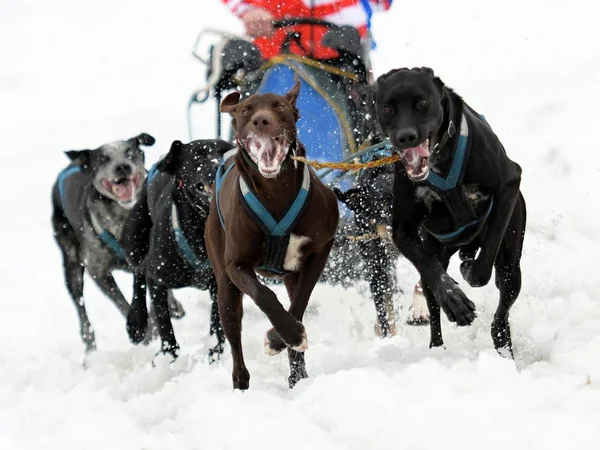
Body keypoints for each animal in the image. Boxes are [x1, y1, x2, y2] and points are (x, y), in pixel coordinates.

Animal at [51, 133, 183, 352]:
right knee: (81, 307)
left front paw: (168, 307)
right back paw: (90, 346)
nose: (122, 167)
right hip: (72, 267)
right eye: (103, 159)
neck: (124, 218)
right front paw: (145, 330)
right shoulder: (99, 272)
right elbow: (122, 302)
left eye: (130, 153)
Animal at [123, 139, 233, 360]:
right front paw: (169, 357)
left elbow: (218, 318)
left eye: (224, 151)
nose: (219, 164)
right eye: (198, 155)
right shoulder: (157, 279)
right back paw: (136, 321)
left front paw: (216, 350)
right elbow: (164, 324)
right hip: (133, 241)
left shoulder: (221, 282)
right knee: (139, 272)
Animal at [205, 81, 338, 390]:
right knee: (234, 340)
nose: (261, 121)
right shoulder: (236, 265)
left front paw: (284, 338)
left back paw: (298, 377)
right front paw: (287, 335)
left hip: (289, 274)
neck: (275, 189)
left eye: (279, 106)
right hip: (225, 290)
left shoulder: (320, 250)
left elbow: (299, 303)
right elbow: (264, 295)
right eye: (245, 110)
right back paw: (241, 385)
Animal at [372, 67, 528, 356]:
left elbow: (482, 268)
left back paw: (502, 346)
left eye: (422, 102)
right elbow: (431, 271)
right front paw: (453, 299)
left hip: (512, 266)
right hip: (437, 249)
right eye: (388, 108)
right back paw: (438, 346)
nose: (406, 136)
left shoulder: (509, 182)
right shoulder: (403, 231)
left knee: (502, 308)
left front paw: (469, 272)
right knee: (432, 297)